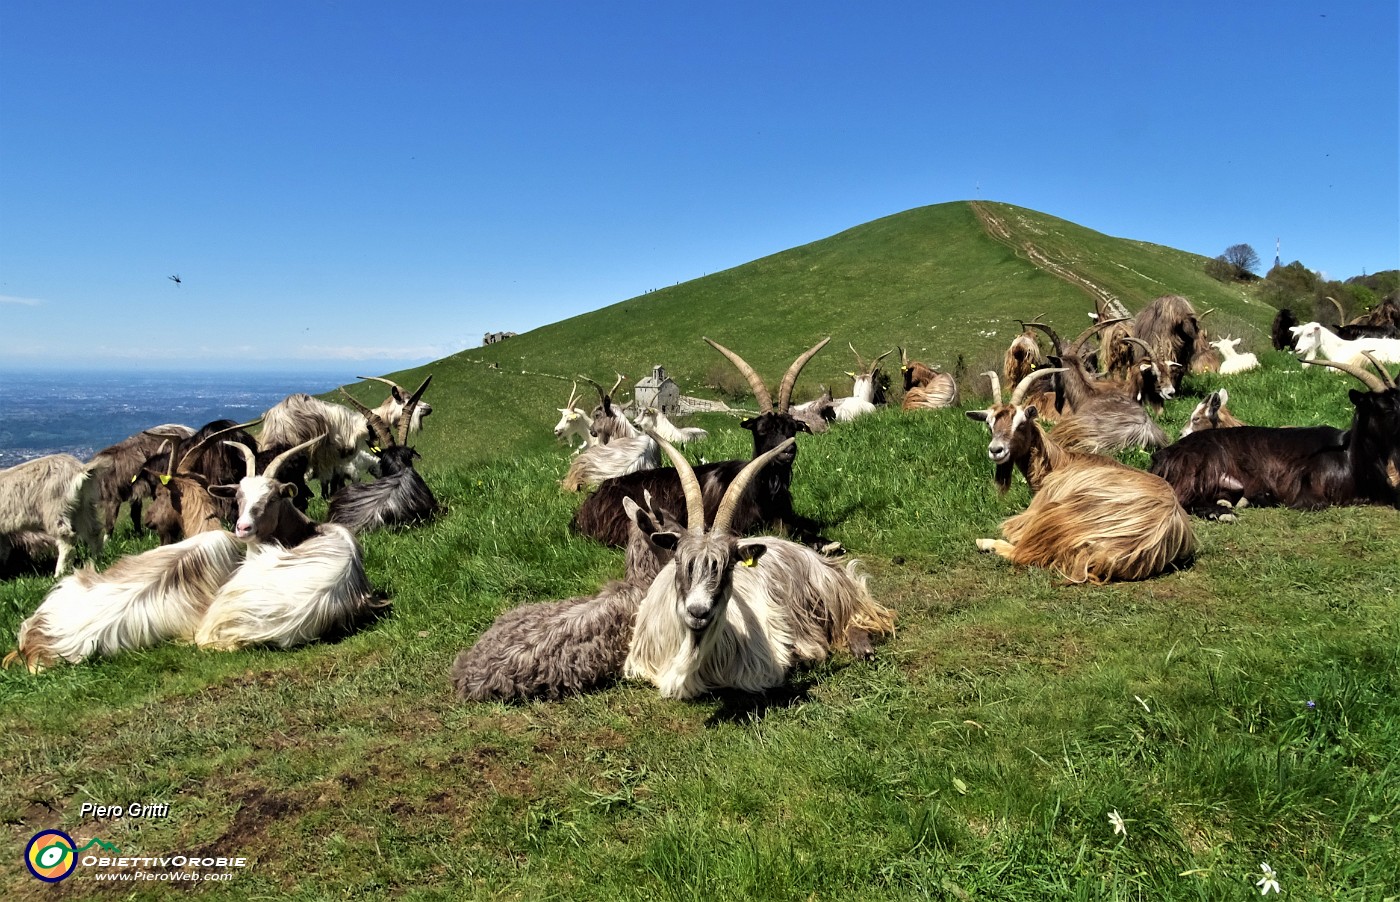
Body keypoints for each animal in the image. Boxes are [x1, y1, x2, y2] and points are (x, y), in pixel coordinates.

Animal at [565, 336, 834, 549]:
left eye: (792, 428)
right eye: (762, 430)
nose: (787, 451)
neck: (762, 489)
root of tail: (590, 502)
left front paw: (828, 544)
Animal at [968, 369, 1198, 582]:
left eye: (1021, 423)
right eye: (989, 424)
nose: (996, 450)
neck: (1059, 463)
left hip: (1058, 516)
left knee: (1021, 553)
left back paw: (985, 543)